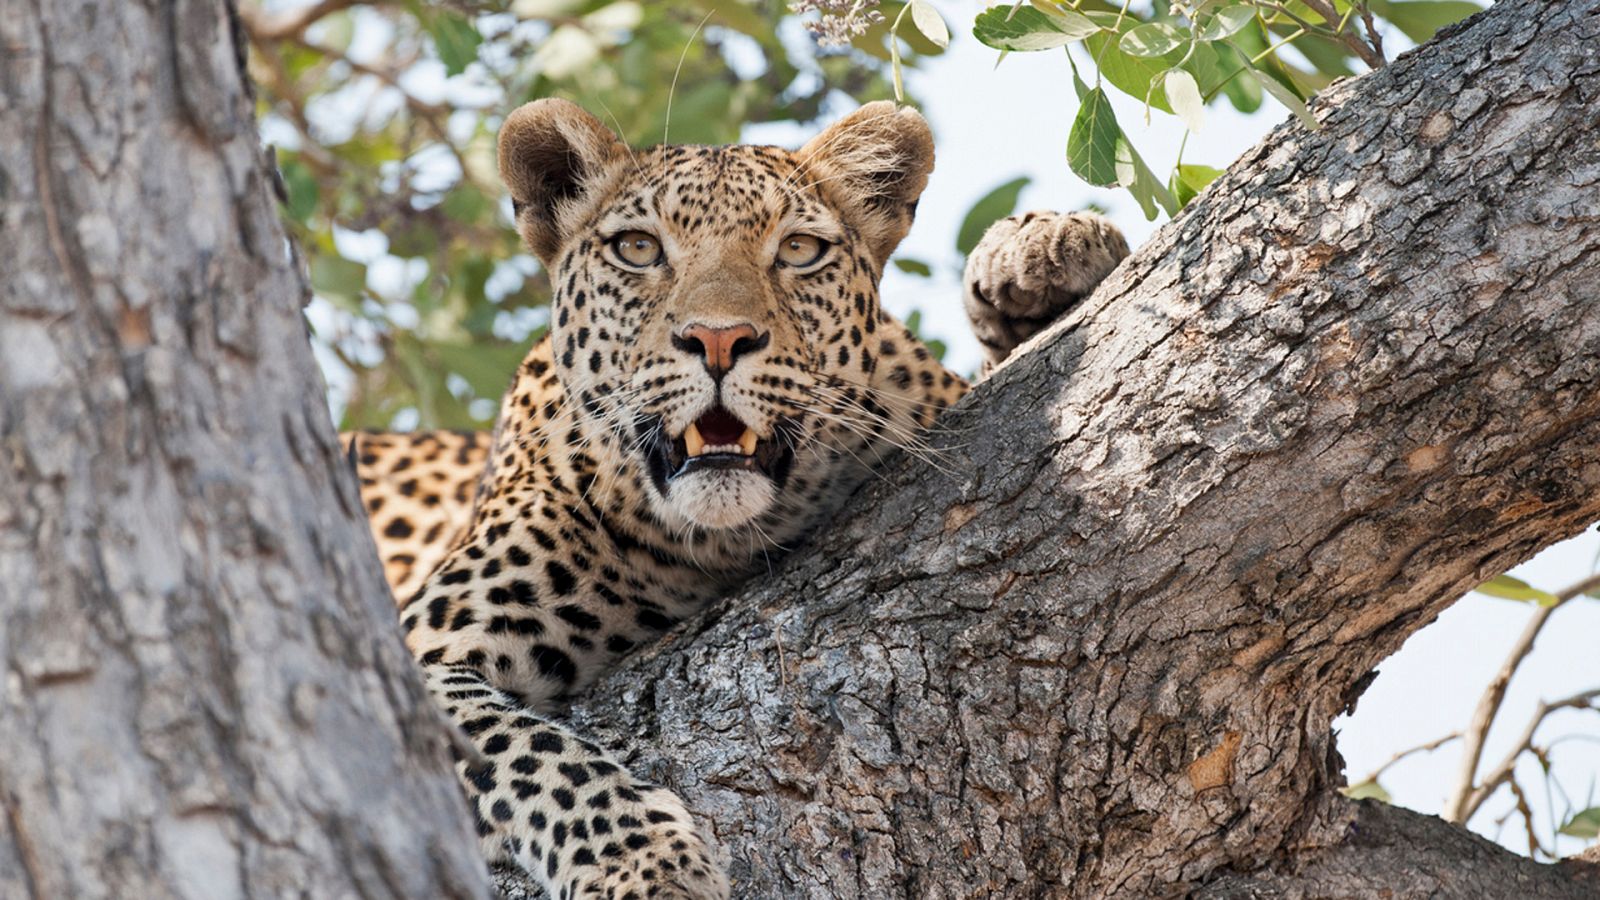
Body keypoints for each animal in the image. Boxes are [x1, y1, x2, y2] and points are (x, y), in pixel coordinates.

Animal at [345, 98, 1132, 896]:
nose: (719, 340)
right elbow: (534, 758)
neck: (719, 541)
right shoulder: (416, 648)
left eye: (798, 249)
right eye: (638, 248)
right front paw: (650, 865)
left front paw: (1040, 252)